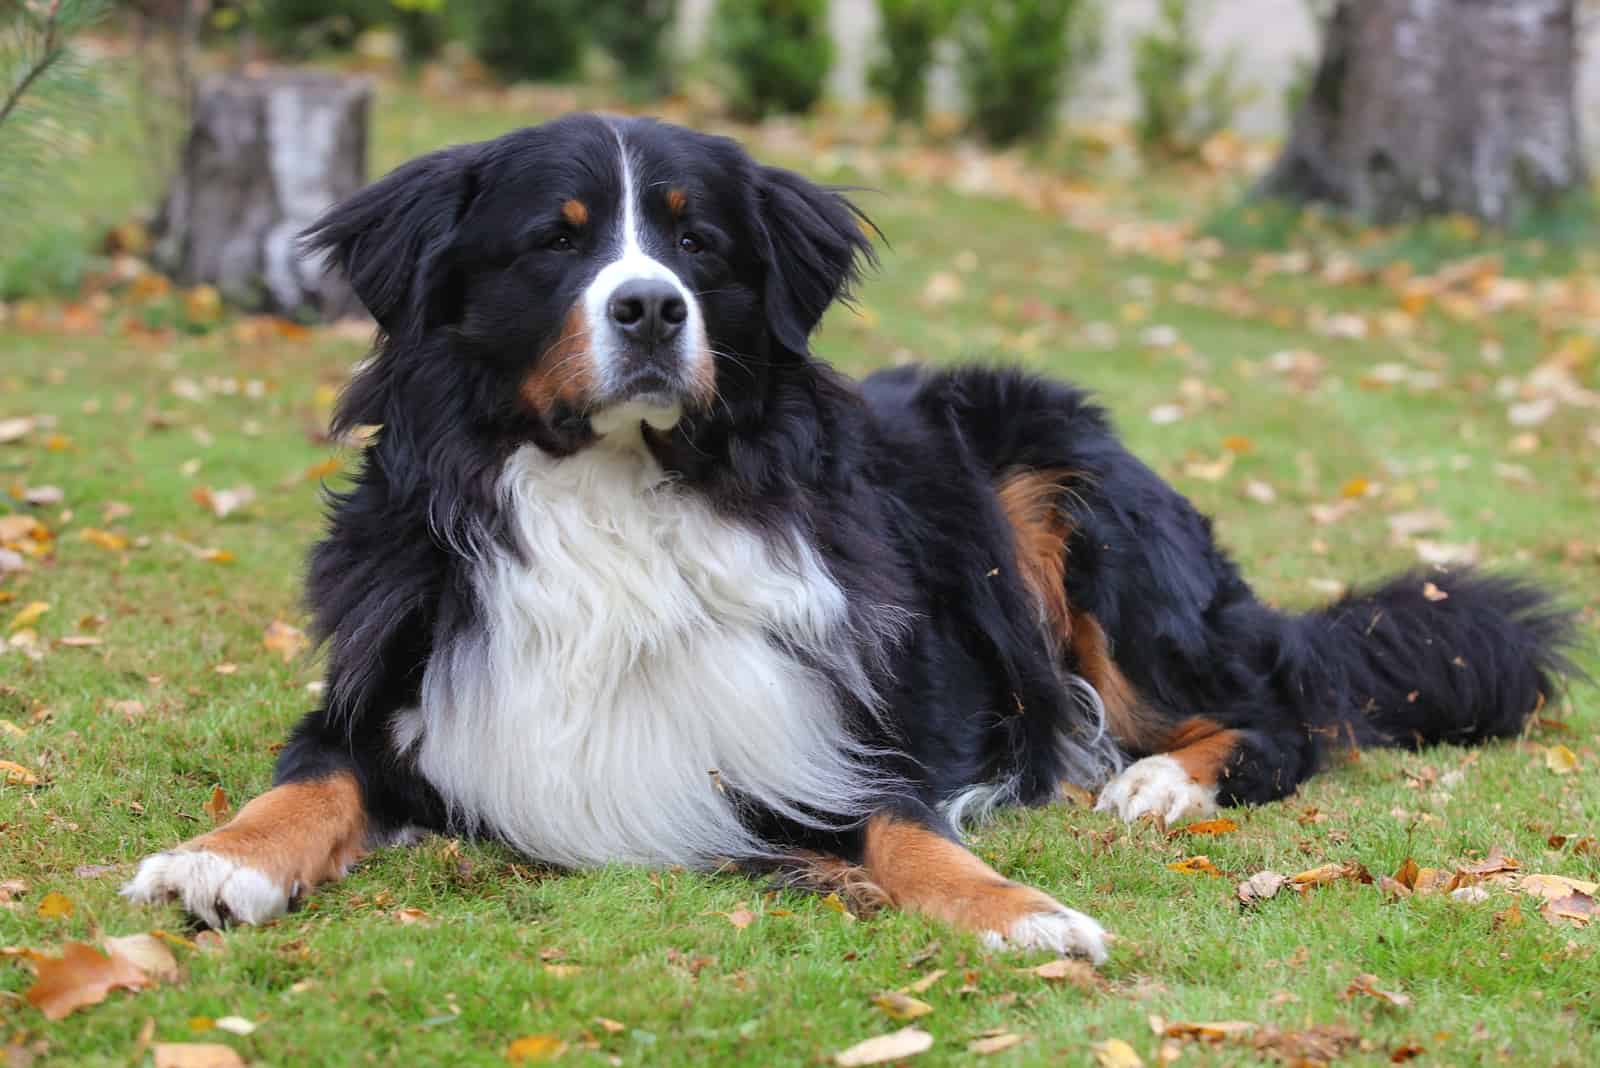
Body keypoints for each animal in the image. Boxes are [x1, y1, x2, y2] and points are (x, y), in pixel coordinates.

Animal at [124, 112, 1574, 965]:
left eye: (701, 243)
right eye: (554, 242)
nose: (651, 309)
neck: (614, 496)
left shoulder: (822, 739)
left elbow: (909, 834)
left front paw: (1026, 912)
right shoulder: (401, 690)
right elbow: (308, 782)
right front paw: (219, 860)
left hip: (1062, 496)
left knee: (1279, 711)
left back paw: (1160, 782)